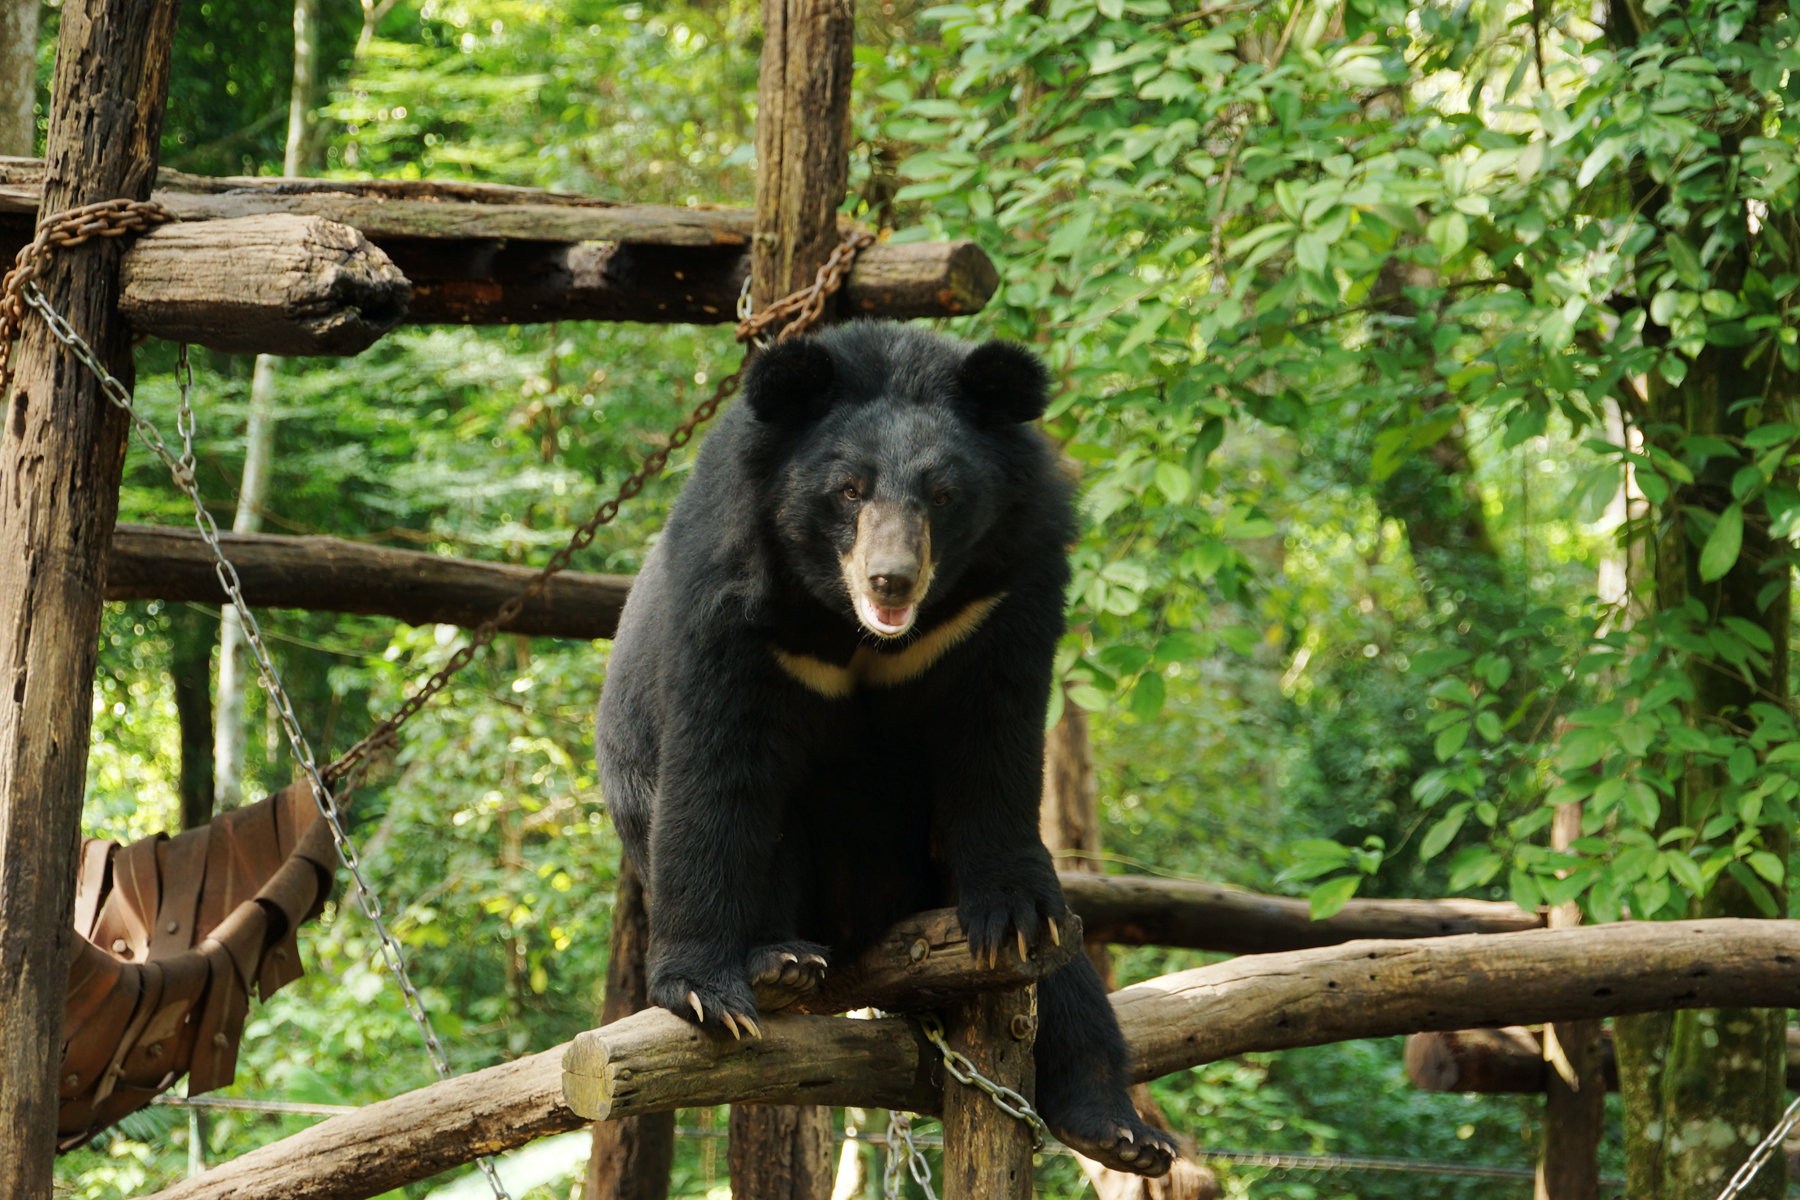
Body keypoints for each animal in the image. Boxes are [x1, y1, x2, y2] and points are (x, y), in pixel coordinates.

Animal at [597, 318, 1173, 1173]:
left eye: (943, 494)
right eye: (848, 490)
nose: (892, 580)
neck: (849, 624)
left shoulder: (1003, 591)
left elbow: (995, 739)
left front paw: (1008, 913)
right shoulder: (735, 601)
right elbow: (716, 768)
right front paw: (706, 993)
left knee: (1066, 968)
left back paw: (1118, 1127)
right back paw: (782, 960)